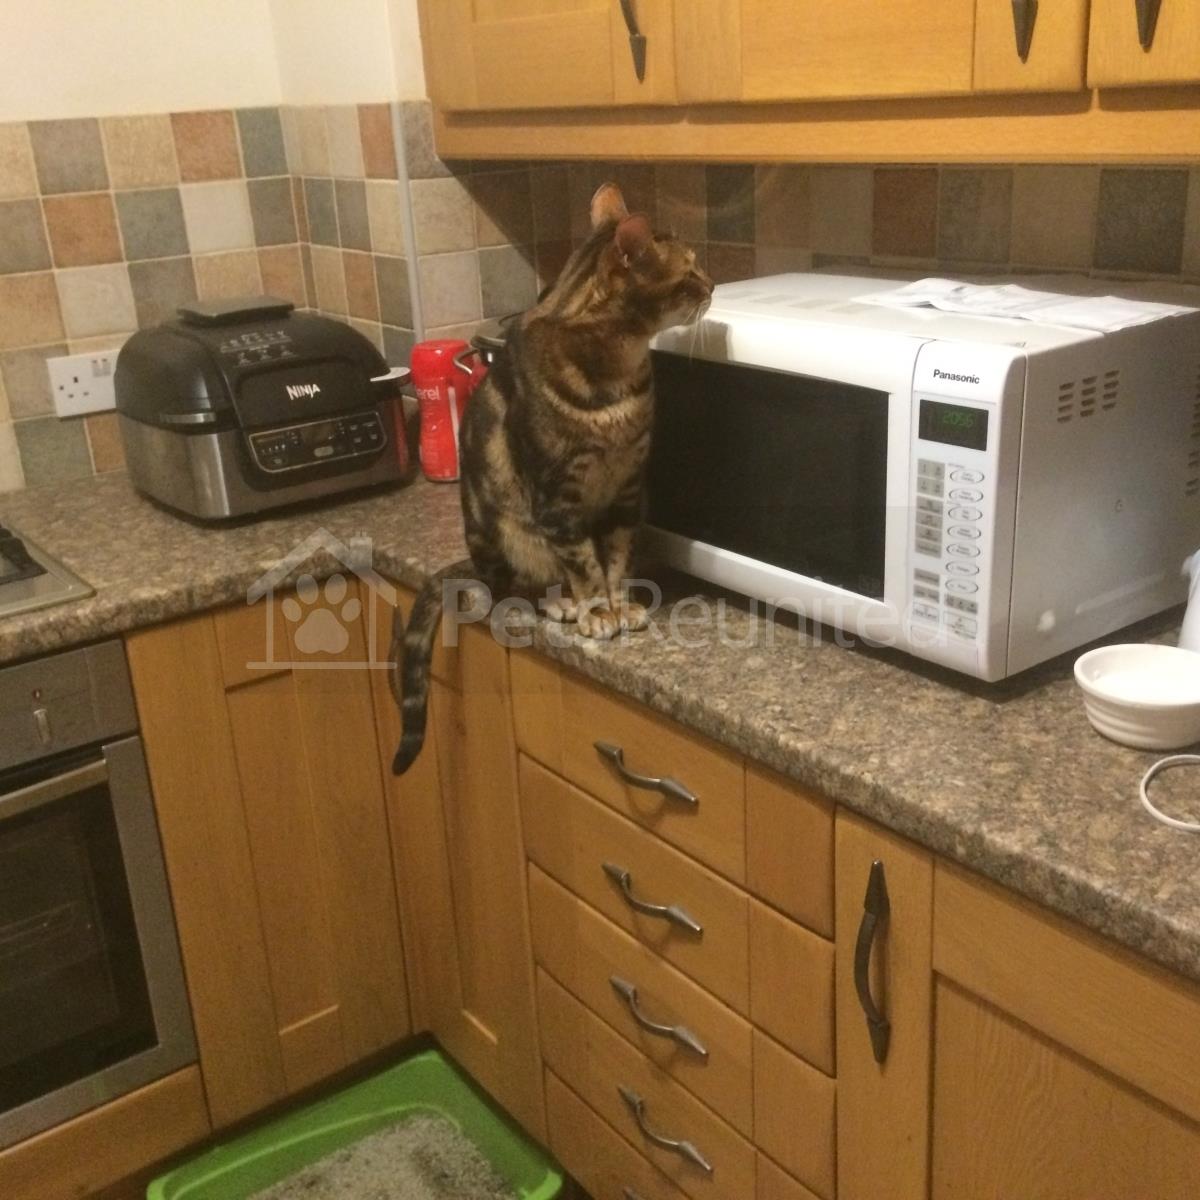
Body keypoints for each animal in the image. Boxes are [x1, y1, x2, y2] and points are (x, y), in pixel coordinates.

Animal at [390, 181, 713, 775]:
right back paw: (557, 601)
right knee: (515, 587)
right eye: (688, 271)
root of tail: (472, 561)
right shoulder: (558, 498)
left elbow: (615, 559)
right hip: (503, 530)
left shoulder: (627, 491)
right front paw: (596, 611)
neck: (620, 371)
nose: (713, 284)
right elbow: (584, 565)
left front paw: (619, 603)